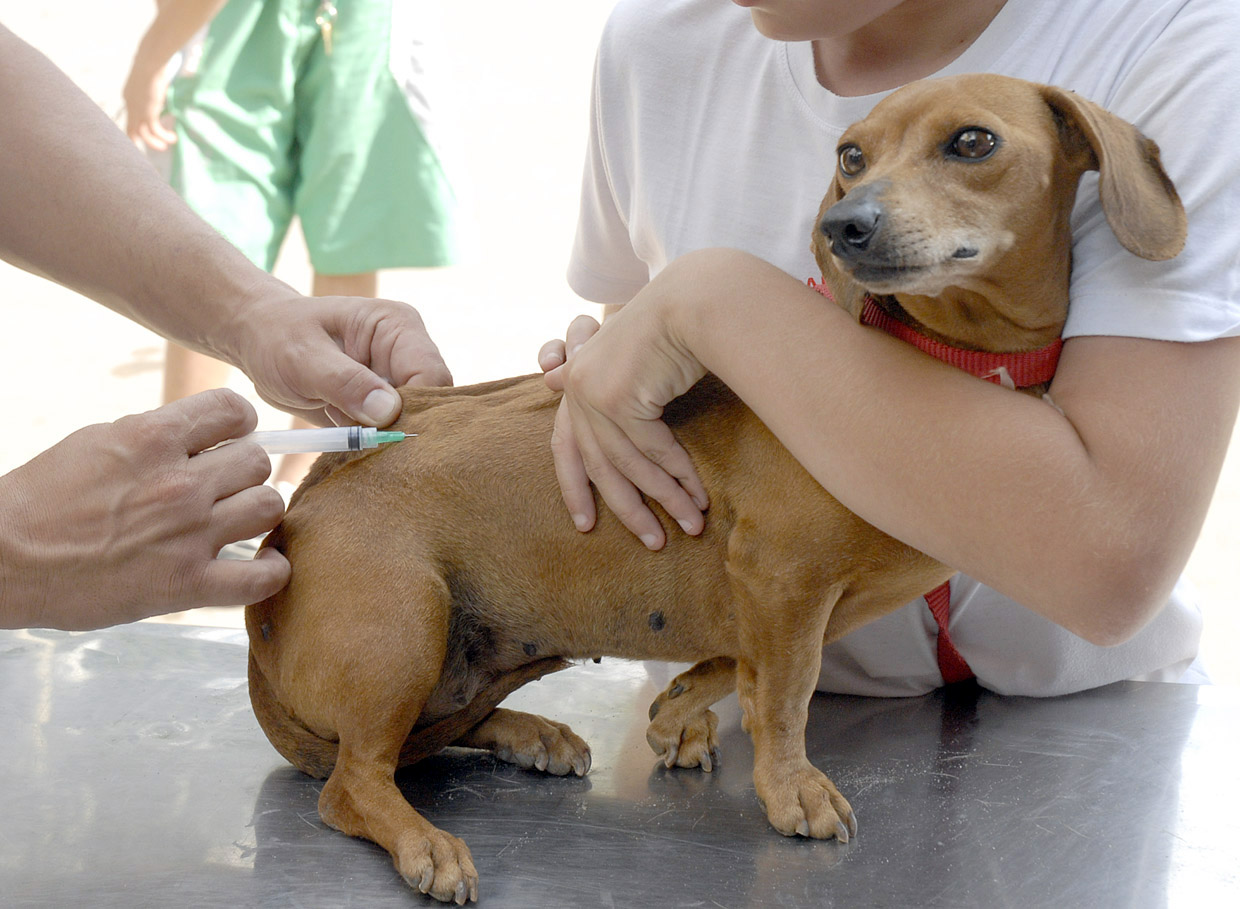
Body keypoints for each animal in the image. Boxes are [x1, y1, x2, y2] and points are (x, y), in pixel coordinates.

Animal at [246, 76, 1185, 902]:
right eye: (851, 155)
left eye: (973, 142)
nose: (844, 225)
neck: (935, 362)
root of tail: (300, 509)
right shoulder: (783, 577)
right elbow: (786, 693)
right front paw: (790, 787)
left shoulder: (781, 597)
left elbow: (743, 665)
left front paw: (680, 707)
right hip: (407, 627)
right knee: (355, 780)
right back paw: (426, 841)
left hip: (463, 658)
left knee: (430, 737)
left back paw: (529, 732)